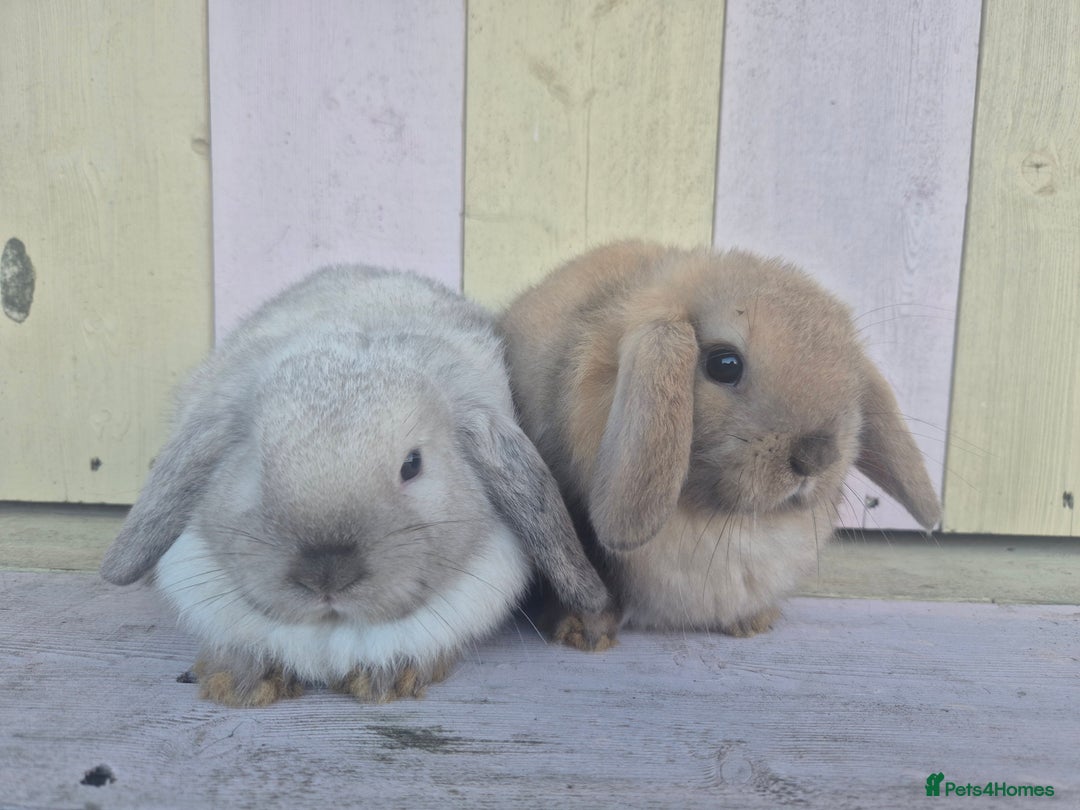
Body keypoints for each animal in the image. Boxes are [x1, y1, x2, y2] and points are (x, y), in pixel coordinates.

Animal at [498, 240, 941, 638]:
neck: (729, 519)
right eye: (724, 364)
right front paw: (584, 632)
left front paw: (752, 622)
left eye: (849, 374)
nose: (817, 457)